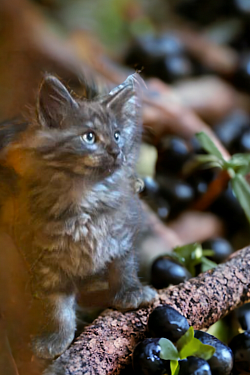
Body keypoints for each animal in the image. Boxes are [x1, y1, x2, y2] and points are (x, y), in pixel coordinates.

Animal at [0, 74, 156, 362]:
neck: (85, 203)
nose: (116, 151)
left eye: (117, 135)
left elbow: (124, 269)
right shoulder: (45, 262)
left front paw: (132, 294)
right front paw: (54, 340)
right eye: (89, 137)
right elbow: (56, 307)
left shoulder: (123, 236)